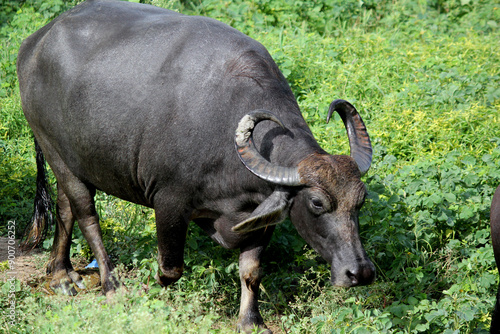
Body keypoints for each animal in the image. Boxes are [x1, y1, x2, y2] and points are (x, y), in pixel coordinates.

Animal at [18, 0, 376, 332]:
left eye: (360, 201)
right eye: (316, 203)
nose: (360, 273)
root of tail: (34, 43)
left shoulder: (261, 213)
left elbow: (251, 270)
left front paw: (250, 321)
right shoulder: (168, 201)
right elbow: (170, 269)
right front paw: (154, 295)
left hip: (69, 161)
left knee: (64, 207)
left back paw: (61, 274)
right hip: (53, 149)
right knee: (86, 214)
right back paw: (111, 285)